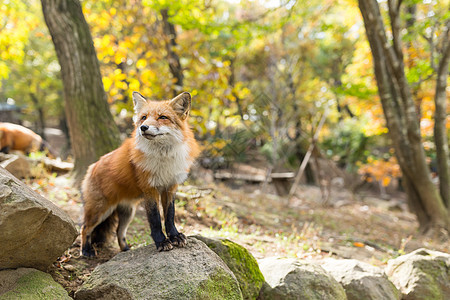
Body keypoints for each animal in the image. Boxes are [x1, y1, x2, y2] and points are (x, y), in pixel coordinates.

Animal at [80, 91, 199, 255]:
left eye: (162, 117)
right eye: (143, 117)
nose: (143, 127)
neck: (163, 158)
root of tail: (92, 167)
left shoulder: (170, 187)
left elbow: (170, 215)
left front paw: (175, 236)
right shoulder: (150, 189)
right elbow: (155, 219)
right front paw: (161, 242)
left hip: (128, 213)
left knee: (119, 232)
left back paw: (125, 250)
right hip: (100, 210)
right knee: (85, 228)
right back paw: (86, 250)